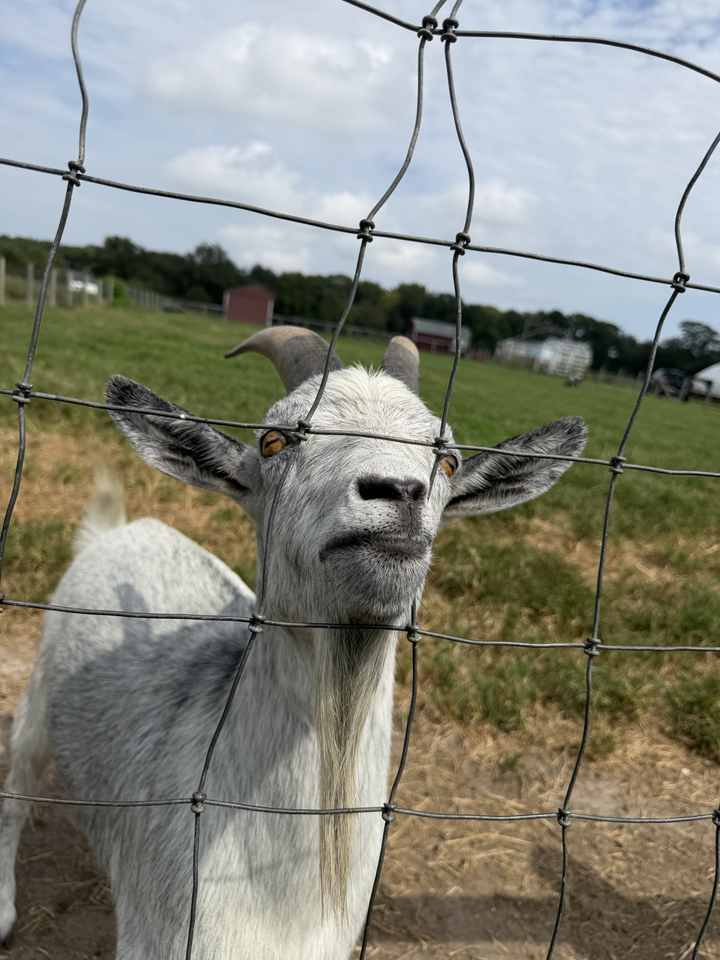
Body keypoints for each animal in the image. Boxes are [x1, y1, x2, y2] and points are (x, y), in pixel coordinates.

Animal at [0, 327, 586, 958]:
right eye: (274, 441)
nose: (399, 491)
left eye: (448, 459)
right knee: (19, 781)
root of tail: (120, 530)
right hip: (39, 690)